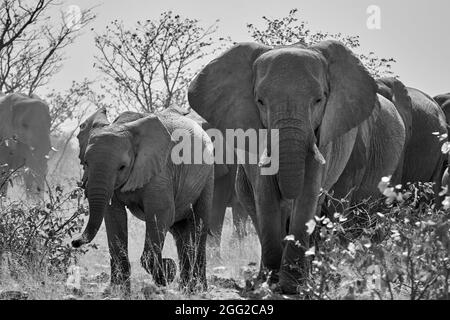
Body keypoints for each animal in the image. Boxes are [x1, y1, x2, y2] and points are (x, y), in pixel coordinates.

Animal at [74, 107, 214, 292]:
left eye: (122, 167)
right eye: (86, 163)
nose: (74, 242)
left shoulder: (160, 170)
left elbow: (161, 212)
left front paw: (168, 272)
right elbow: (114, 216)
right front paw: (120, 291)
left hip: (207, 176)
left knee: (199, 224)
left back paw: (197, 289)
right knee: (180, 230)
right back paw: (185, 288)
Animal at [188, 39, 410, 292]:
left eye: (319, 100)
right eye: (260, 101)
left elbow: (308, 194)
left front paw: (291, 286)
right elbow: (266, 194)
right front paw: (270, 284)